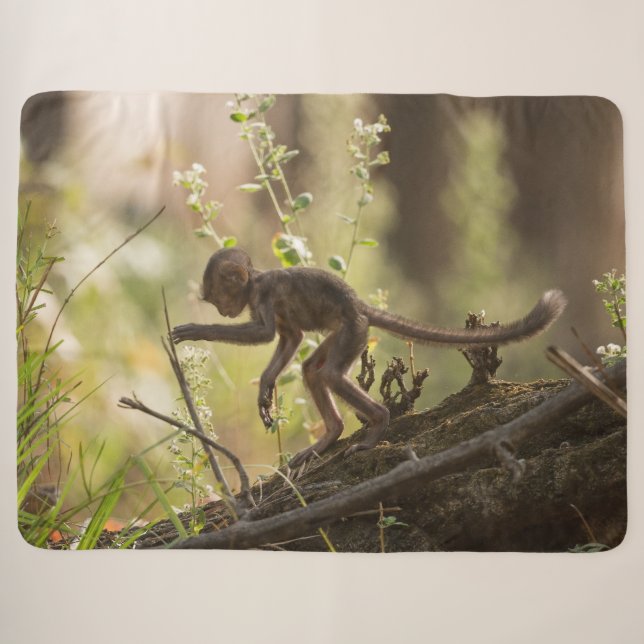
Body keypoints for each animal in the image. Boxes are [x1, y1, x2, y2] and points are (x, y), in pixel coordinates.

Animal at [172, 247, 566, 467]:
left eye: (218, 298)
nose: (221, 311)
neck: (255, 282)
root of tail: (359, 306)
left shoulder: (264, 295)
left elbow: (267, 334)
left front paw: (197, 330)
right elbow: (290, 338)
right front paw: (266, 388)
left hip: (353, 330)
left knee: (330, 374)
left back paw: (378, 423)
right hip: (349, 332)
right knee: (313, 370)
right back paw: (331, 434)